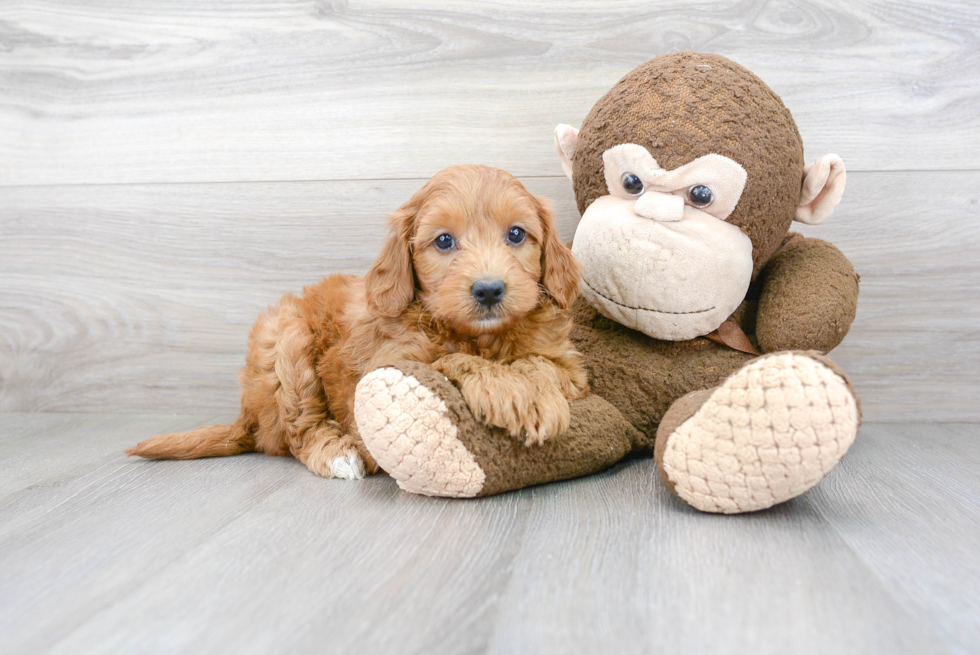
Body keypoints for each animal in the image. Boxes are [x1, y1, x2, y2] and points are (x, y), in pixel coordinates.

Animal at [125, 167, 584, 480]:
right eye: (443, 241)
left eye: (516, 234)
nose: (489, 290)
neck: (478, 337)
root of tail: (248, 416)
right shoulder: (387, 362)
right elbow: (447, 361)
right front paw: (509, 390)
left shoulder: (568, 368)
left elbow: (538, 364)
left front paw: (529, 392)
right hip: (285, 338)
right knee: (298, 430)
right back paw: (338, 455)